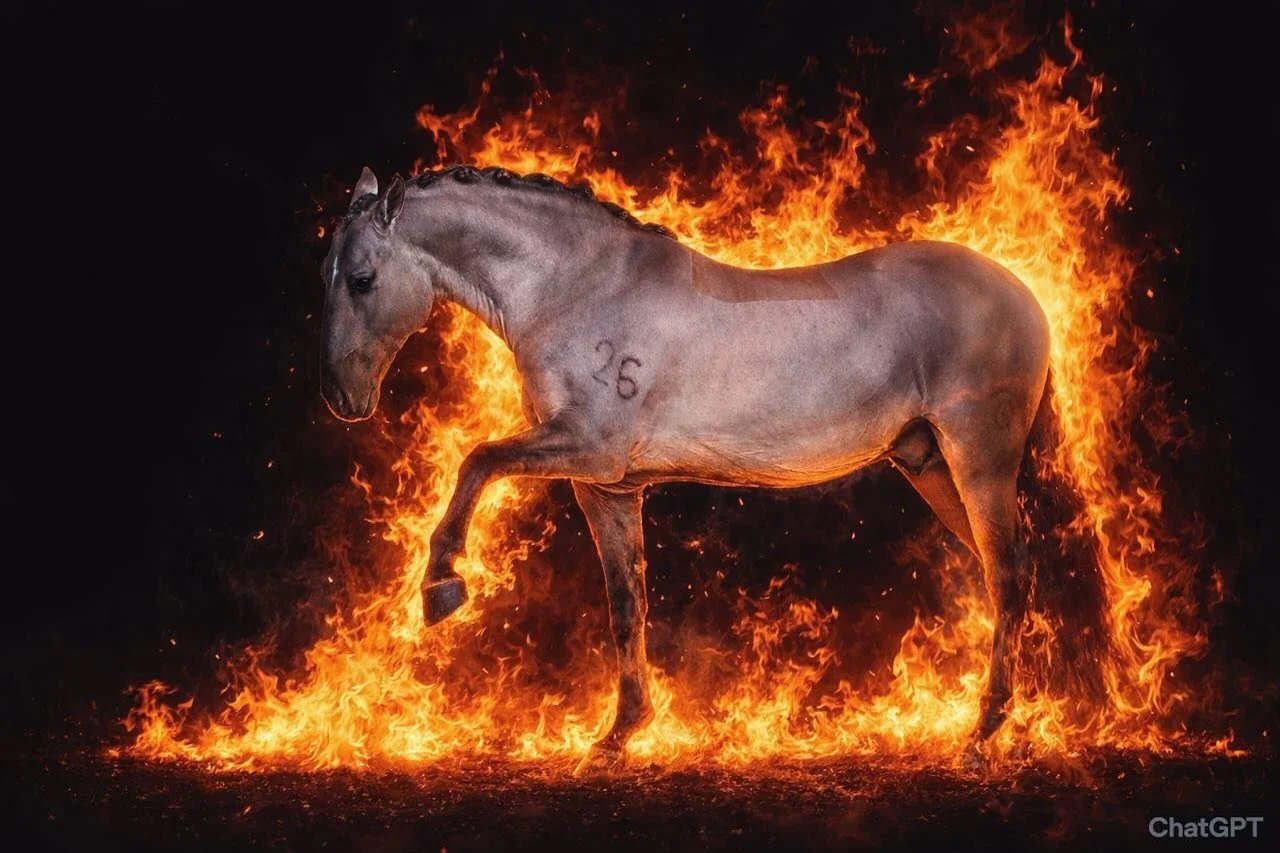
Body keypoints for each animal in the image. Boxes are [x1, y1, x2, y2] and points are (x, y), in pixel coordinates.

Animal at [320, 164, 1054, 772]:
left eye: (362, 278)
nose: (340, 398)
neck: (574, 289)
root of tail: (1026, 297)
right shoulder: (607, 486)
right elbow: (626, 603)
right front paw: (618, 735)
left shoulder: (588, 445)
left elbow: (477, 460)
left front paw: (442, 585)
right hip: (931, 467)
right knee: (1005, 575)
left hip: (979, 460)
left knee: (1009, 573)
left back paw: (983, 732)